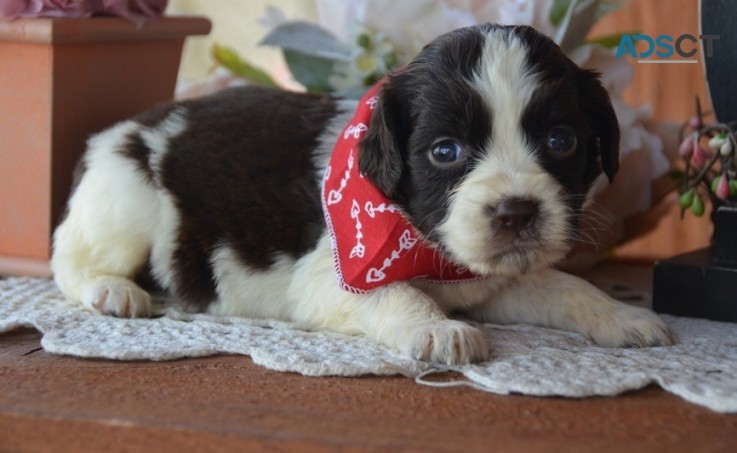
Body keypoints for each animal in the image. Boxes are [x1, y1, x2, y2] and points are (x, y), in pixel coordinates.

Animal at [50, 23, 672, 364]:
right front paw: (438, 329)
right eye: (445, 151)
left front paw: (623, 316)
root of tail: (120, 130)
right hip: (126, 200)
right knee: (69, 258)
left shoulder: (489, 278)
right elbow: (394, 293)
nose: (516, 212)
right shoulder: (329, 275)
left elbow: (562, 285)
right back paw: (115, 292)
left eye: (561, 141)